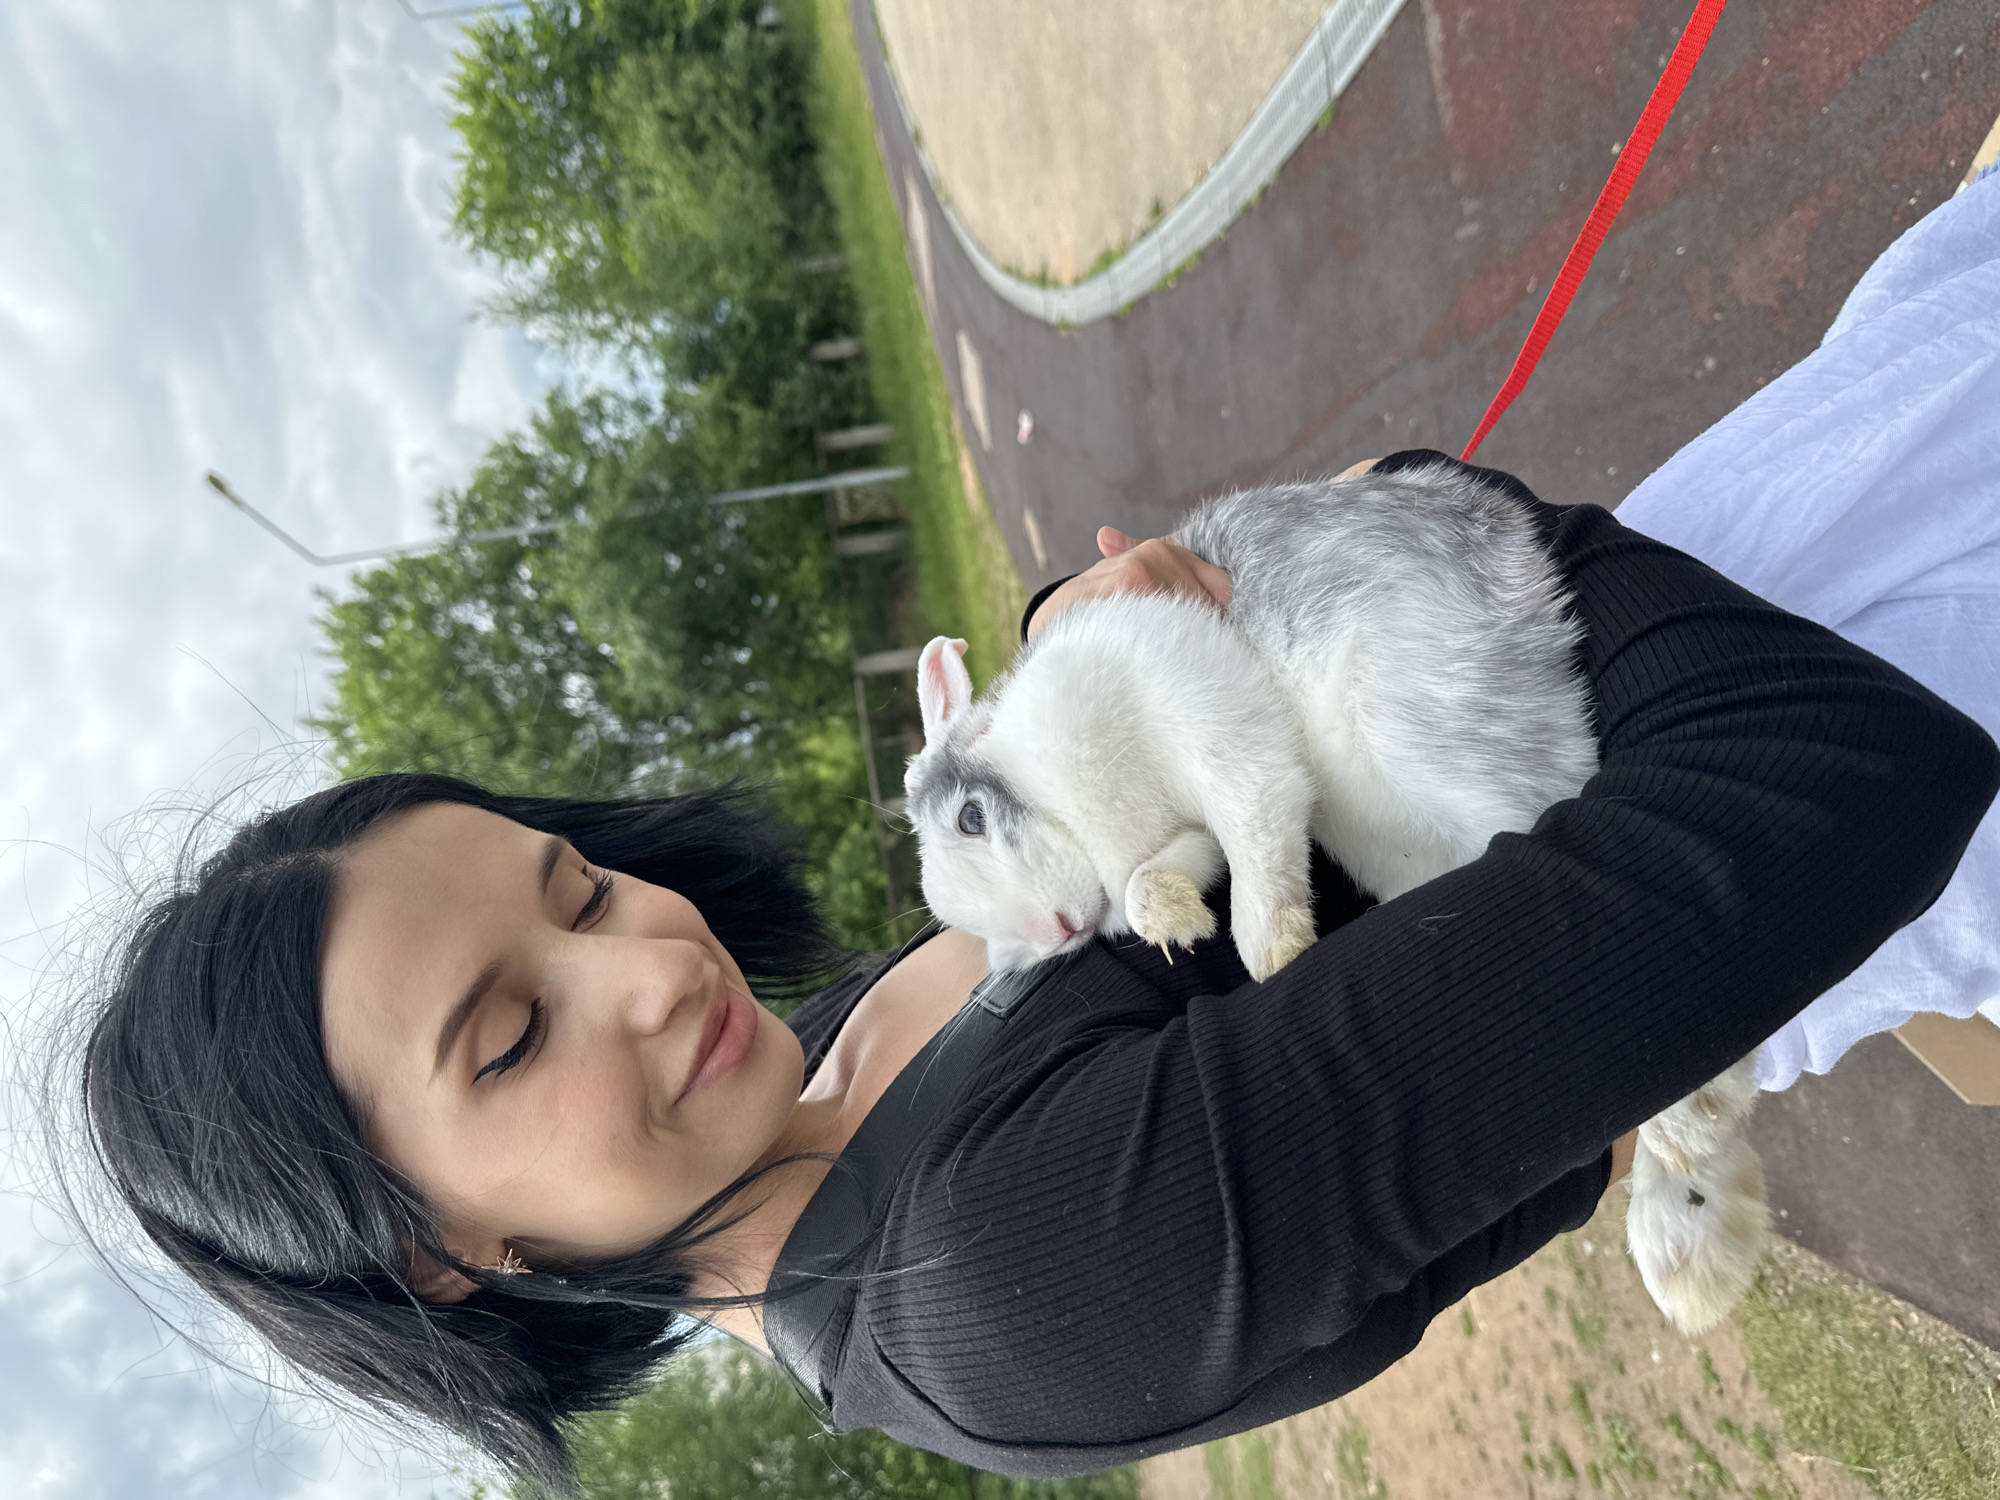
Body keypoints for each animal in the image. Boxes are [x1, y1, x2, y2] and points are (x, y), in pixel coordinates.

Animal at [903, 462, 1767, 1335]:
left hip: (1426, 734)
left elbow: (1254, 810)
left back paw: (1689, 1155)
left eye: (971, 818)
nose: (1055, 929)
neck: (1067, 804)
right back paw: (1696, 1239)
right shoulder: (1180, 838)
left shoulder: (1187, 698)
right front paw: (1179, 924)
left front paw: (1273, 950)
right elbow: (1162, 875)